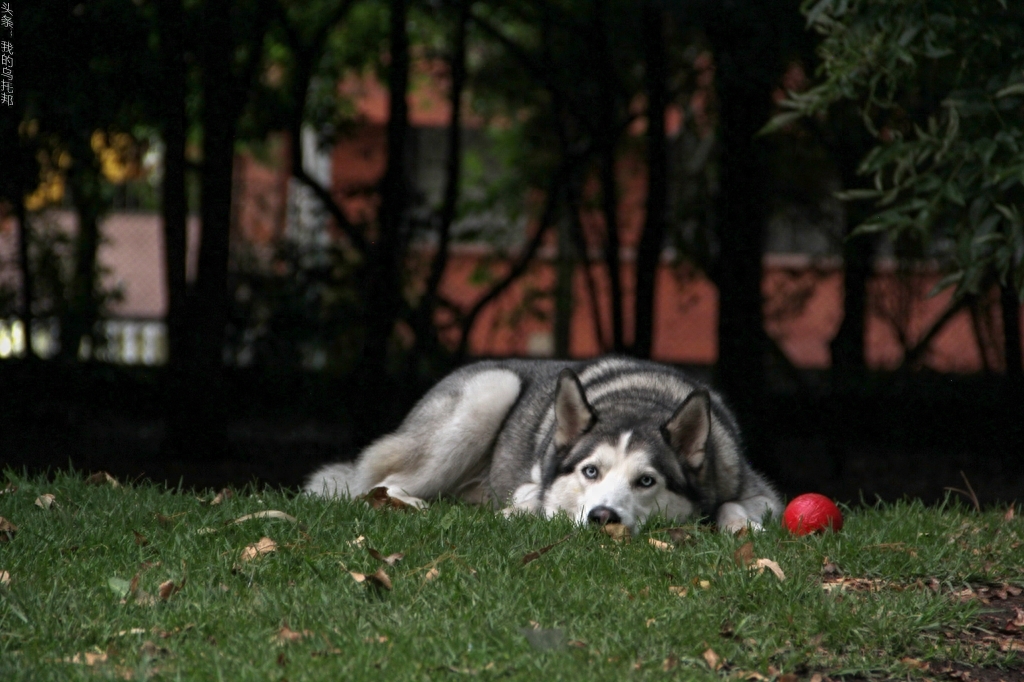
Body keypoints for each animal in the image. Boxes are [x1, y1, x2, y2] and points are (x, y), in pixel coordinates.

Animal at [307, 356, 778, 532]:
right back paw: (410, 503)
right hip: (488, 391)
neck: (640, 400)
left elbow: (734, 505)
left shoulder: (760, 492)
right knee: (378, 482)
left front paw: (740, 526)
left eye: (646, 481)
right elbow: (536, 497)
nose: (602, 516)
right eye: (591, 472)